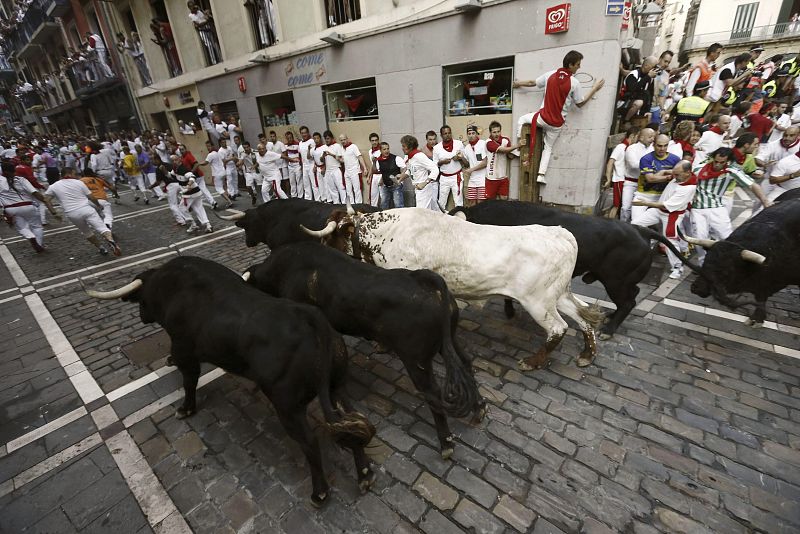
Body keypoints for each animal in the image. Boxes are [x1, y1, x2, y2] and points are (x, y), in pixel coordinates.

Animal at [83, 258, 376, 508]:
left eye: (142, 298)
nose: (142, 316)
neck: (173, 288)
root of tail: (316, 323)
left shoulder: (184, 352)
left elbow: (189, 382)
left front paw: (186, 409)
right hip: (336, 386)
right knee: (352, 421)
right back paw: (364, 474)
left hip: (288, 405)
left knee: (310, 442)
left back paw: (320, 493)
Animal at [242, 243, 482, 460]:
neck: (285, 268)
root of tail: (424, 279)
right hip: (448, 341)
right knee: (466, 362)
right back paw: (480, 409)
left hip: (416, 359)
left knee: (433, 393)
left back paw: (446, 443)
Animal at [304, 207, 604, 370]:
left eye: (330, 237)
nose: (319, 255)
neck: (386, 234)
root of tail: (559, 232)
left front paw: (382, 345)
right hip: (558, 295)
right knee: (583, 316)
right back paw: (587, 355)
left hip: (539, 302)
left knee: (559, 328)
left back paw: (532, 362)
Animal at [450, 201, 700, 340]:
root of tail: (641, 230)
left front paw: (510, 312)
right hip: (621, 282)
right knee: (631, 297)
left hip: (616, 282)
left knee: (629, 301)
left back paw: (609, 329)